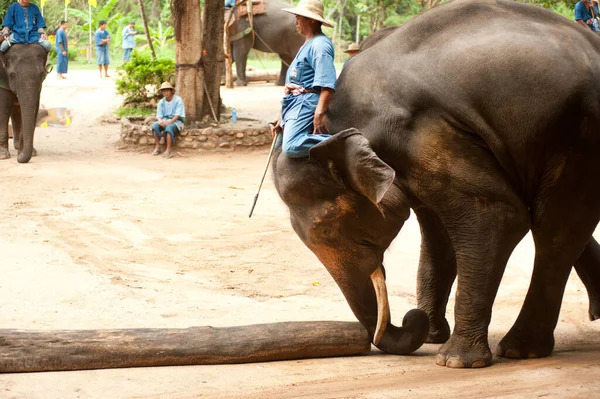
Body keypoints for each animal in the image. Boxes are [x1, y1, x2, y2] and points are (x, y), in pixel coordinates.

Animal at [274, 0, 600, 368]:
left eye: (329, 230)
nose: (409, 318)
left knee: (555, 227)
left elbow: (496, 215)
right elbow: (437, 234)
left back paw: (521, 349)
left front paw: (455, 361)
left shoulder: (425, 134)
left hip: (578, 134)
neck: (334, 121)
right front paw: (431, 333)